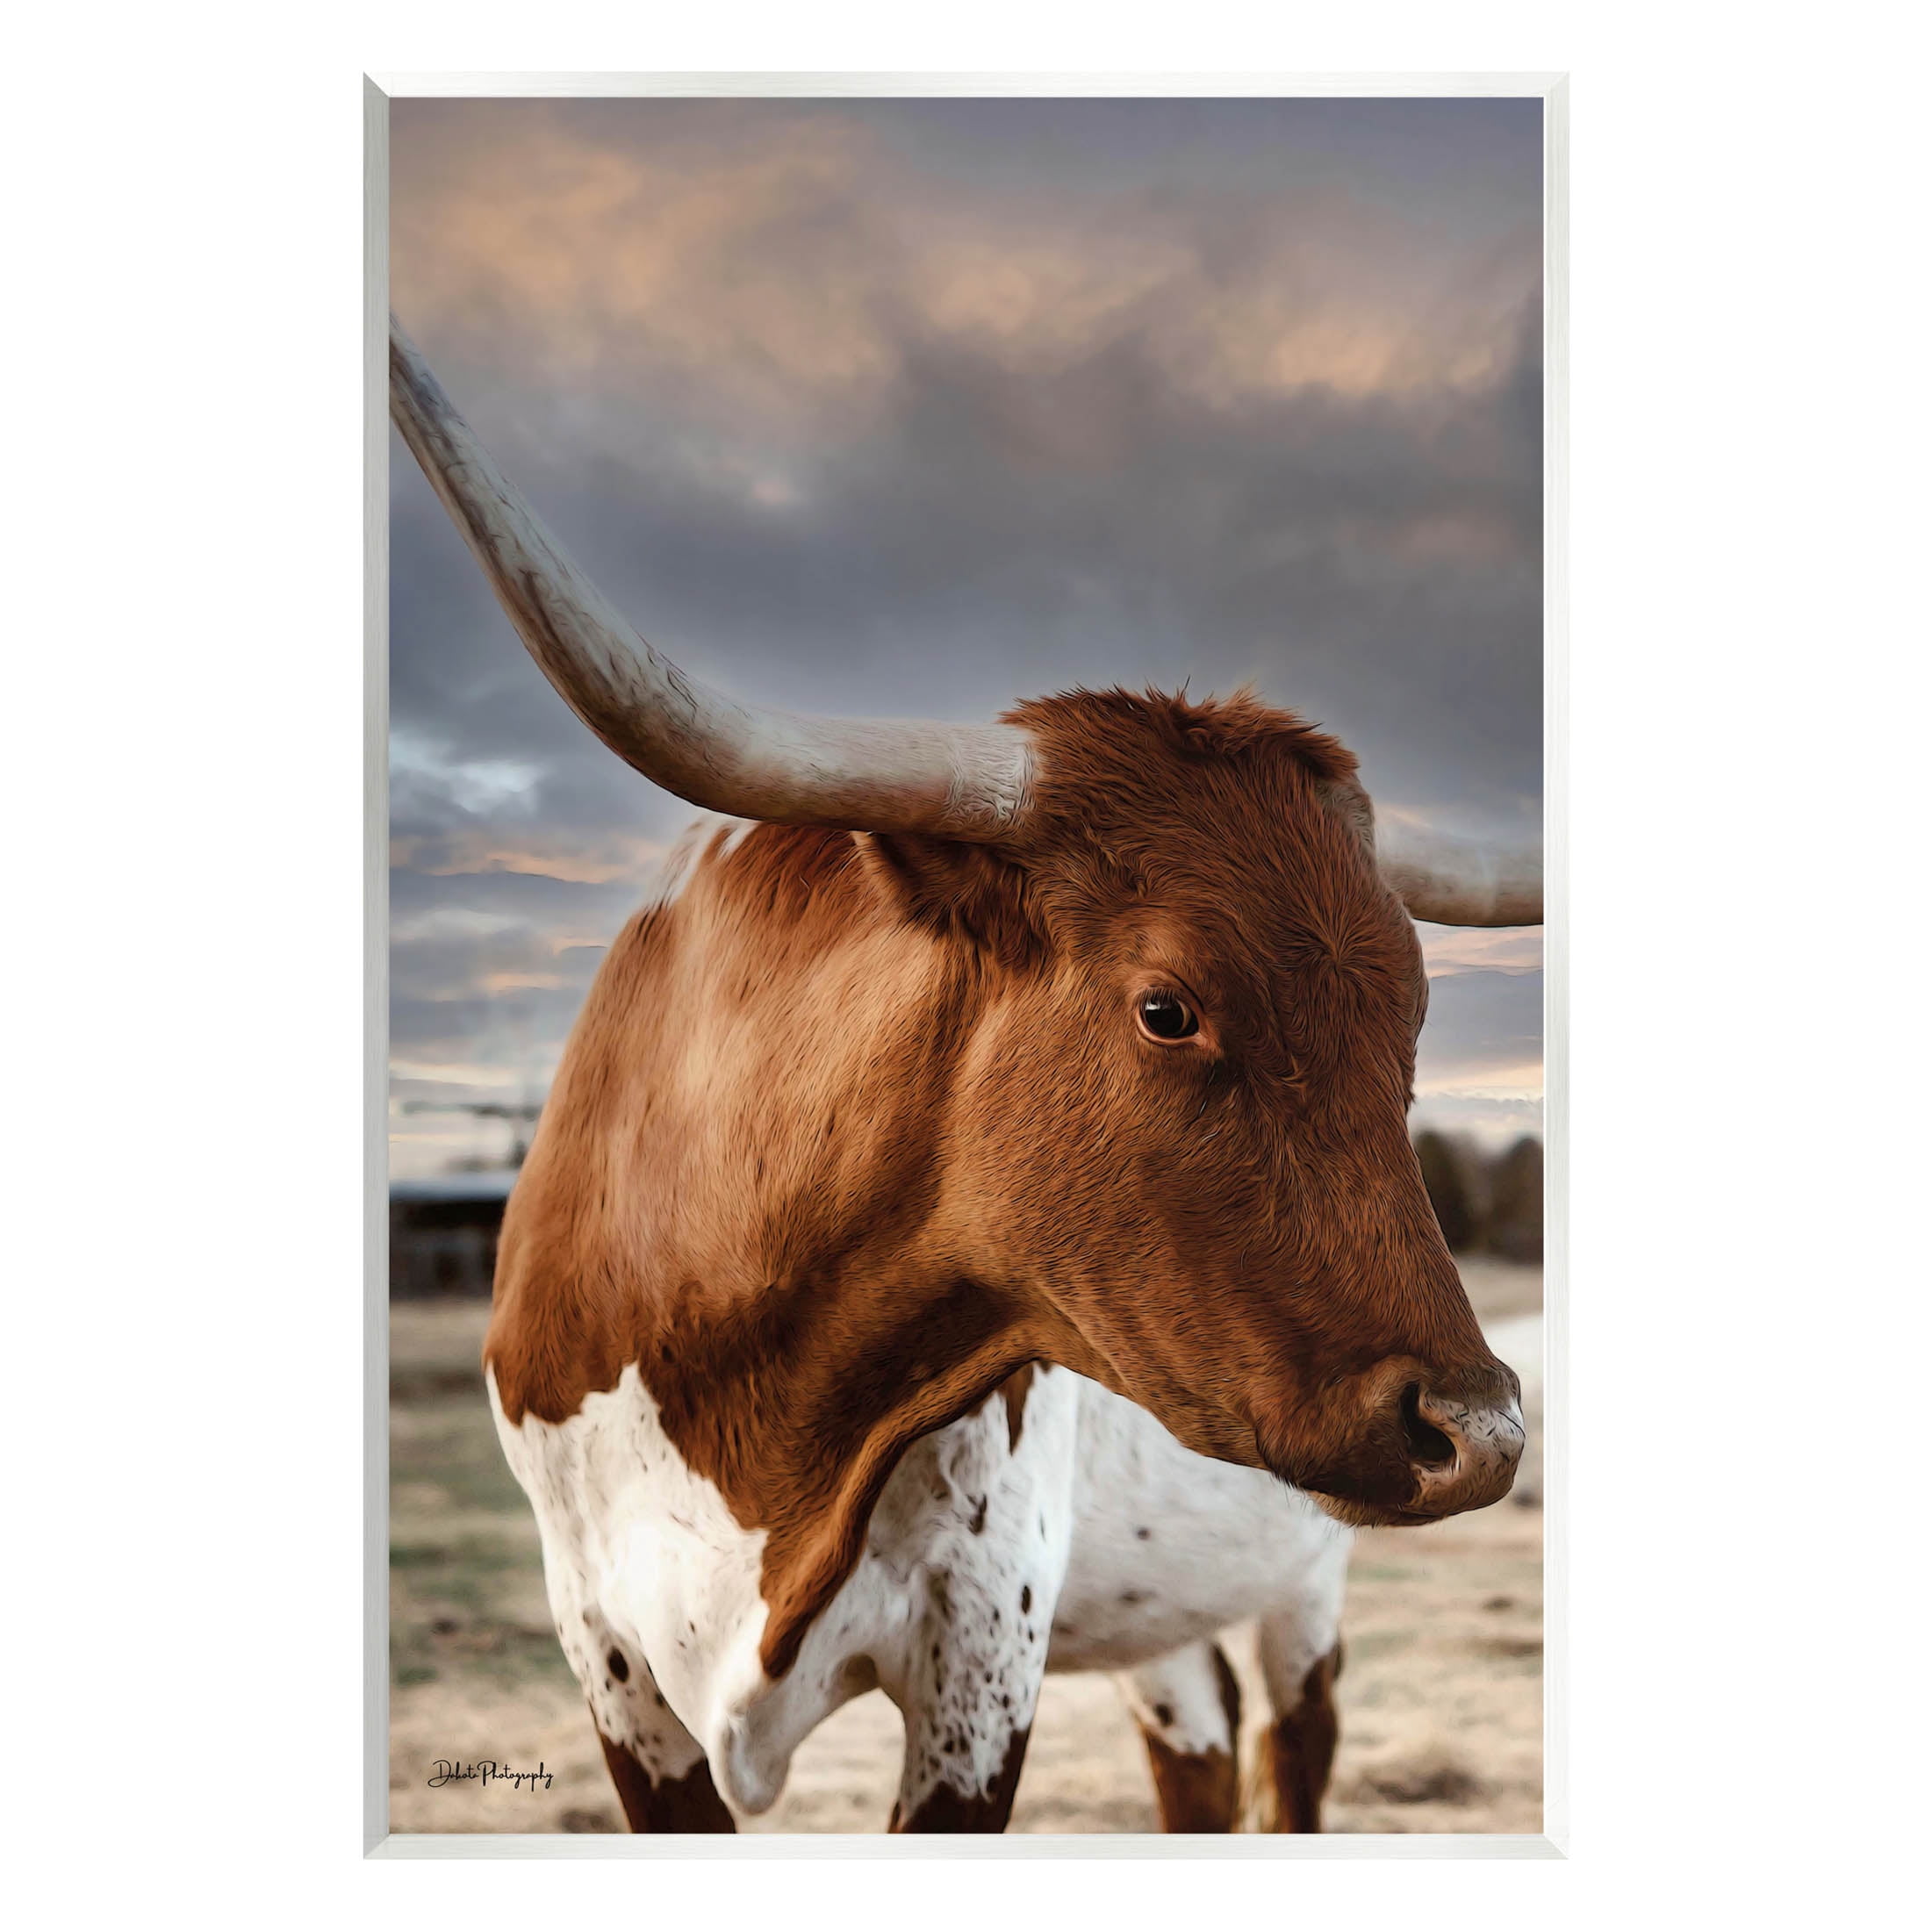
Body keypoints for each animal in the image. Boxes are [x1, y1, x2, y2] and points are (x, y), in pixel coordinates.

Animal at [390, 318, 1542, 1834]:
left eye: (1410, 1025)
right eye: (1167, 1008)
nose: (1480, 1430)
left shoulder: (984, 1638)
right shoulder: (609, 1658)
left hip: (1302, 1587)